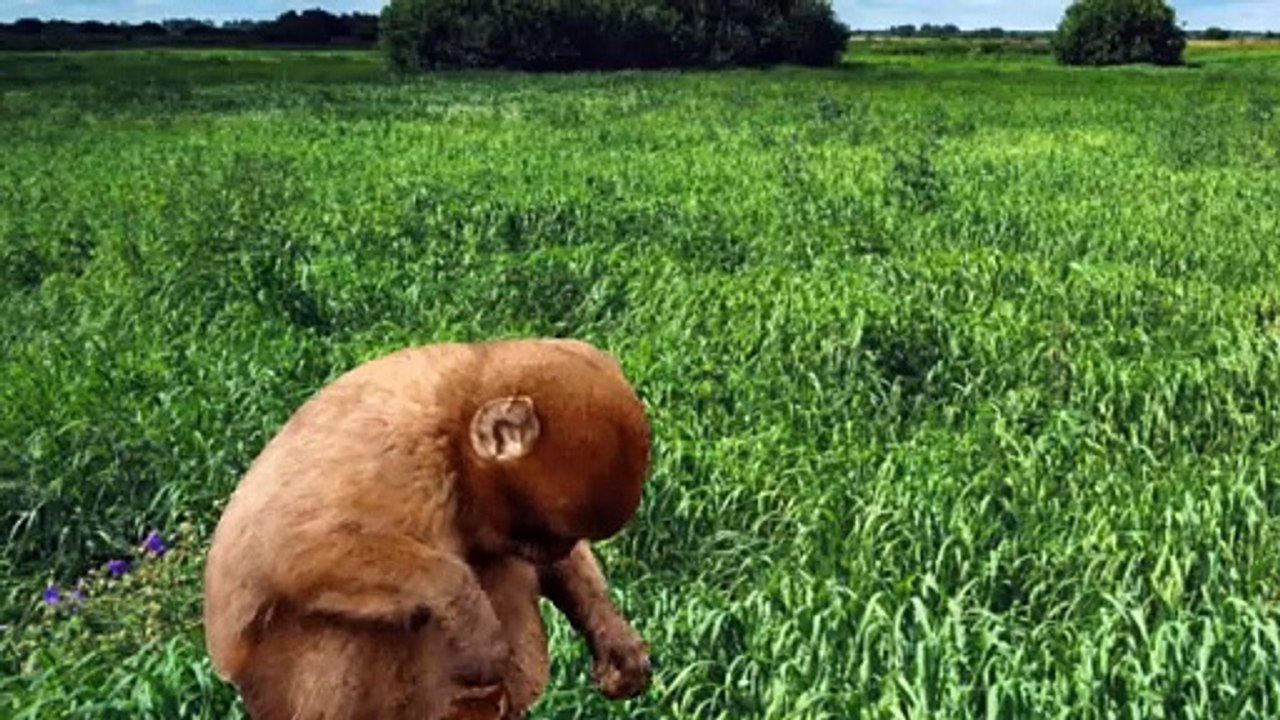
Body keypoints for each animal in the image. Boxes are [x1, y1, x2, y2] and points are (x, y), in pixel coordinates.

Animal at [202, 338, 653, 720]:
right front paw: (472, 620)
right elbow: (290, 549)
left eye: (564, 539)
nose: (556, 551)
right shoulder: (402, 459)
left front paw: (615, 639)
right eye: (547, 534)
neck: (454, 426)